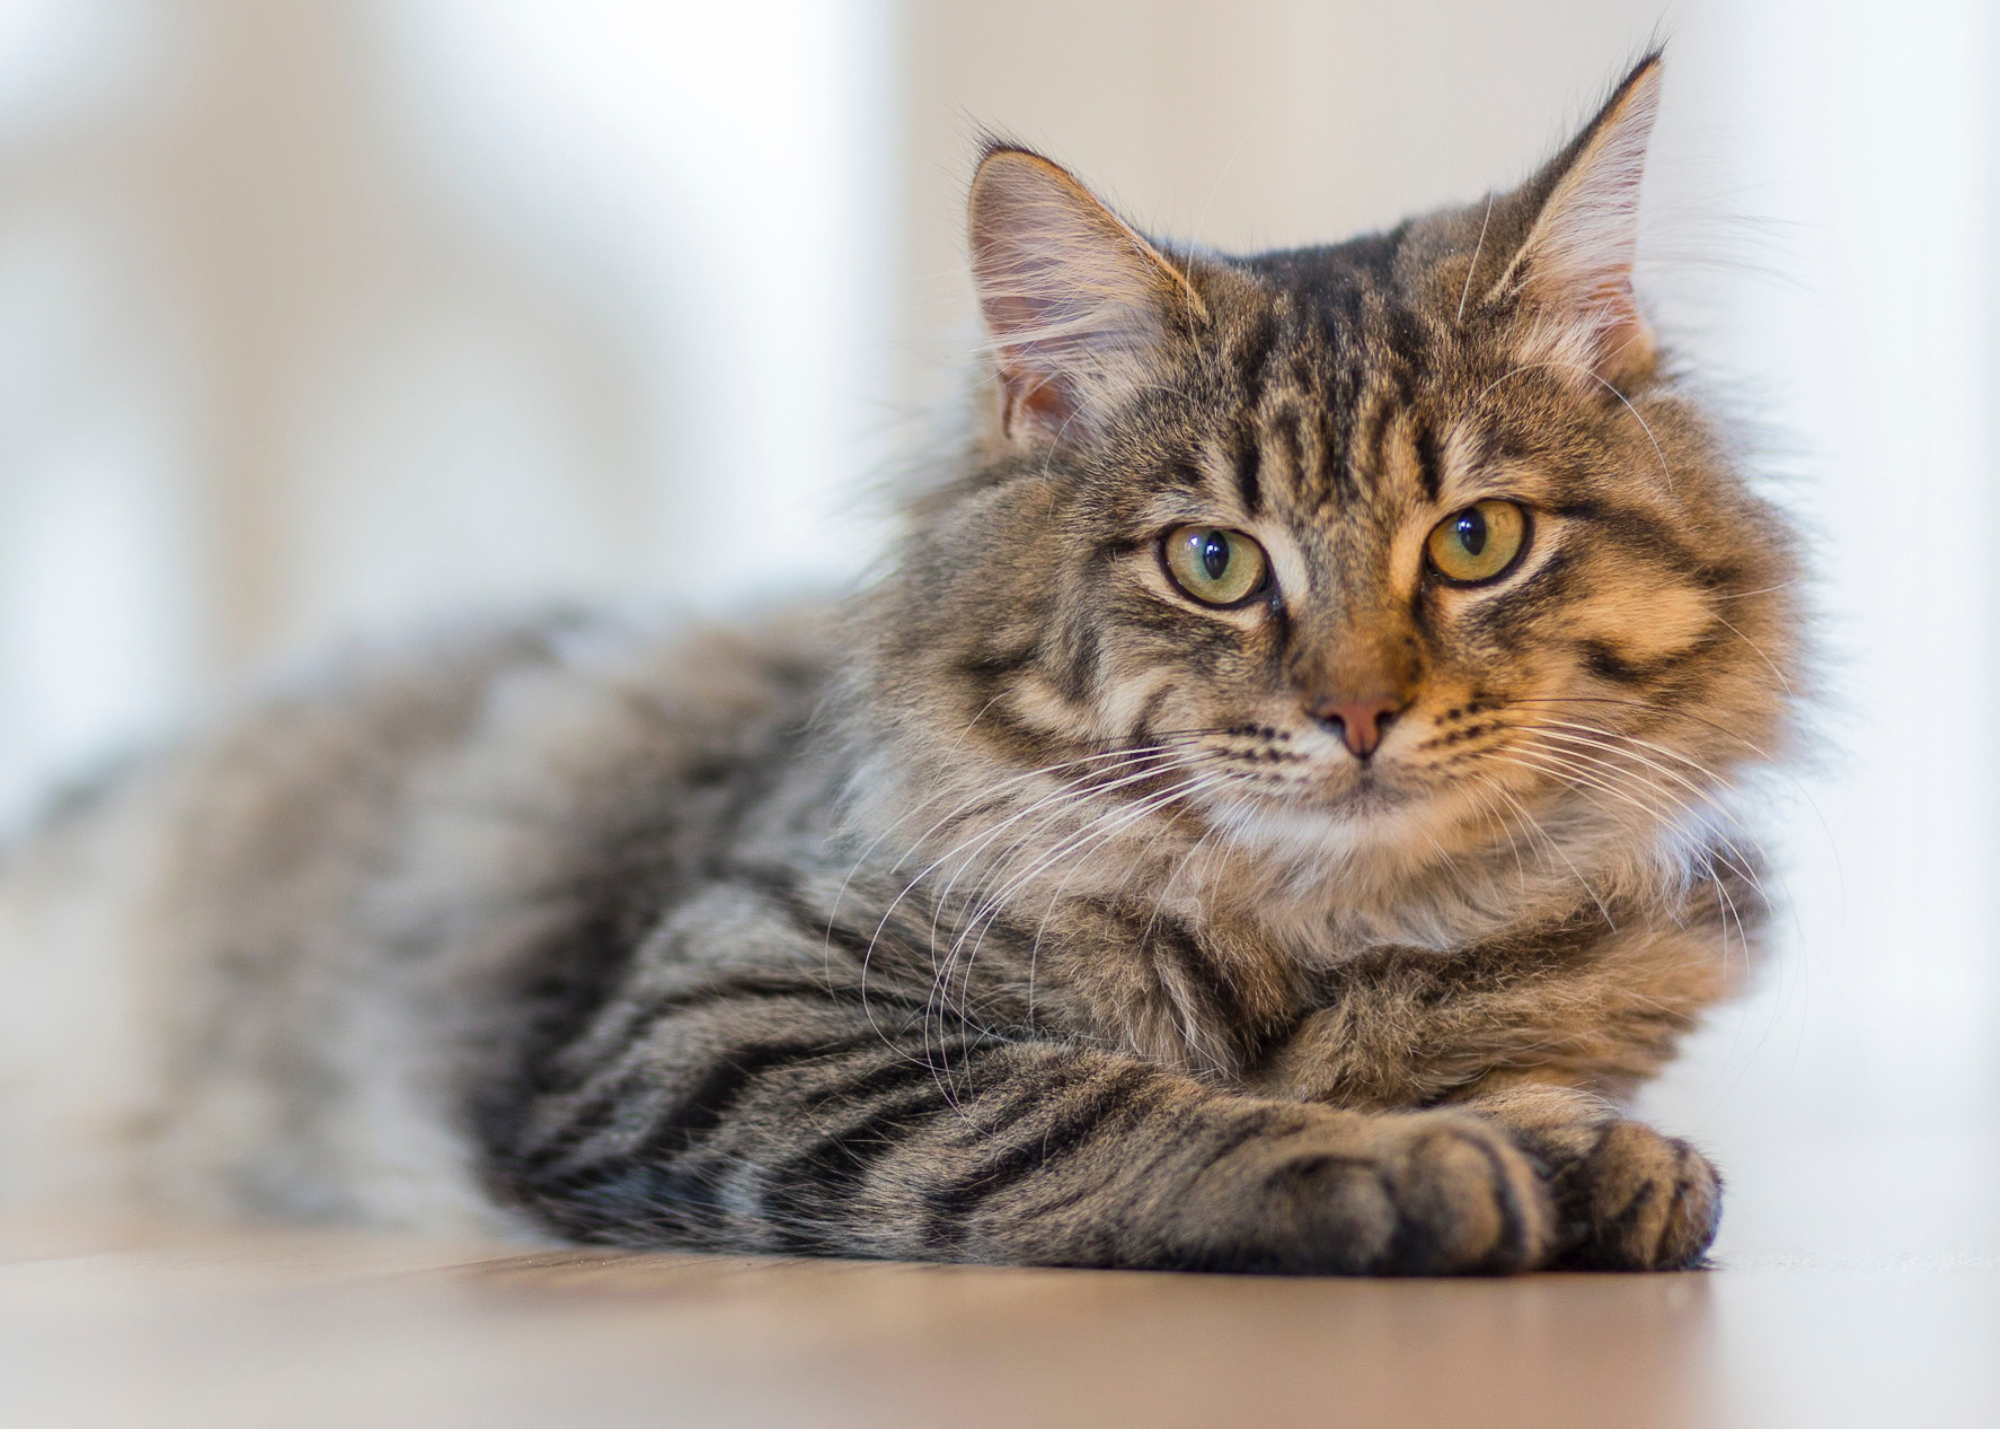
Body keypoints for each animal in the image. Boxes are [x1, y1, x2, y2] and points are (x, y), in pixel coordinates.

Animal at [0, 52, 1800, 1272]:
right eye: (1214, 562)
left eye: (1477, 540)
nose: (1358, 711)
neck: (1319, 941)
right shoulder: (724, 1016)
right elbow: (1091, 1100)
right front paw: (1412, 1156)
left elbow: (1540, 1074)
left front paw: (1589, 1145)